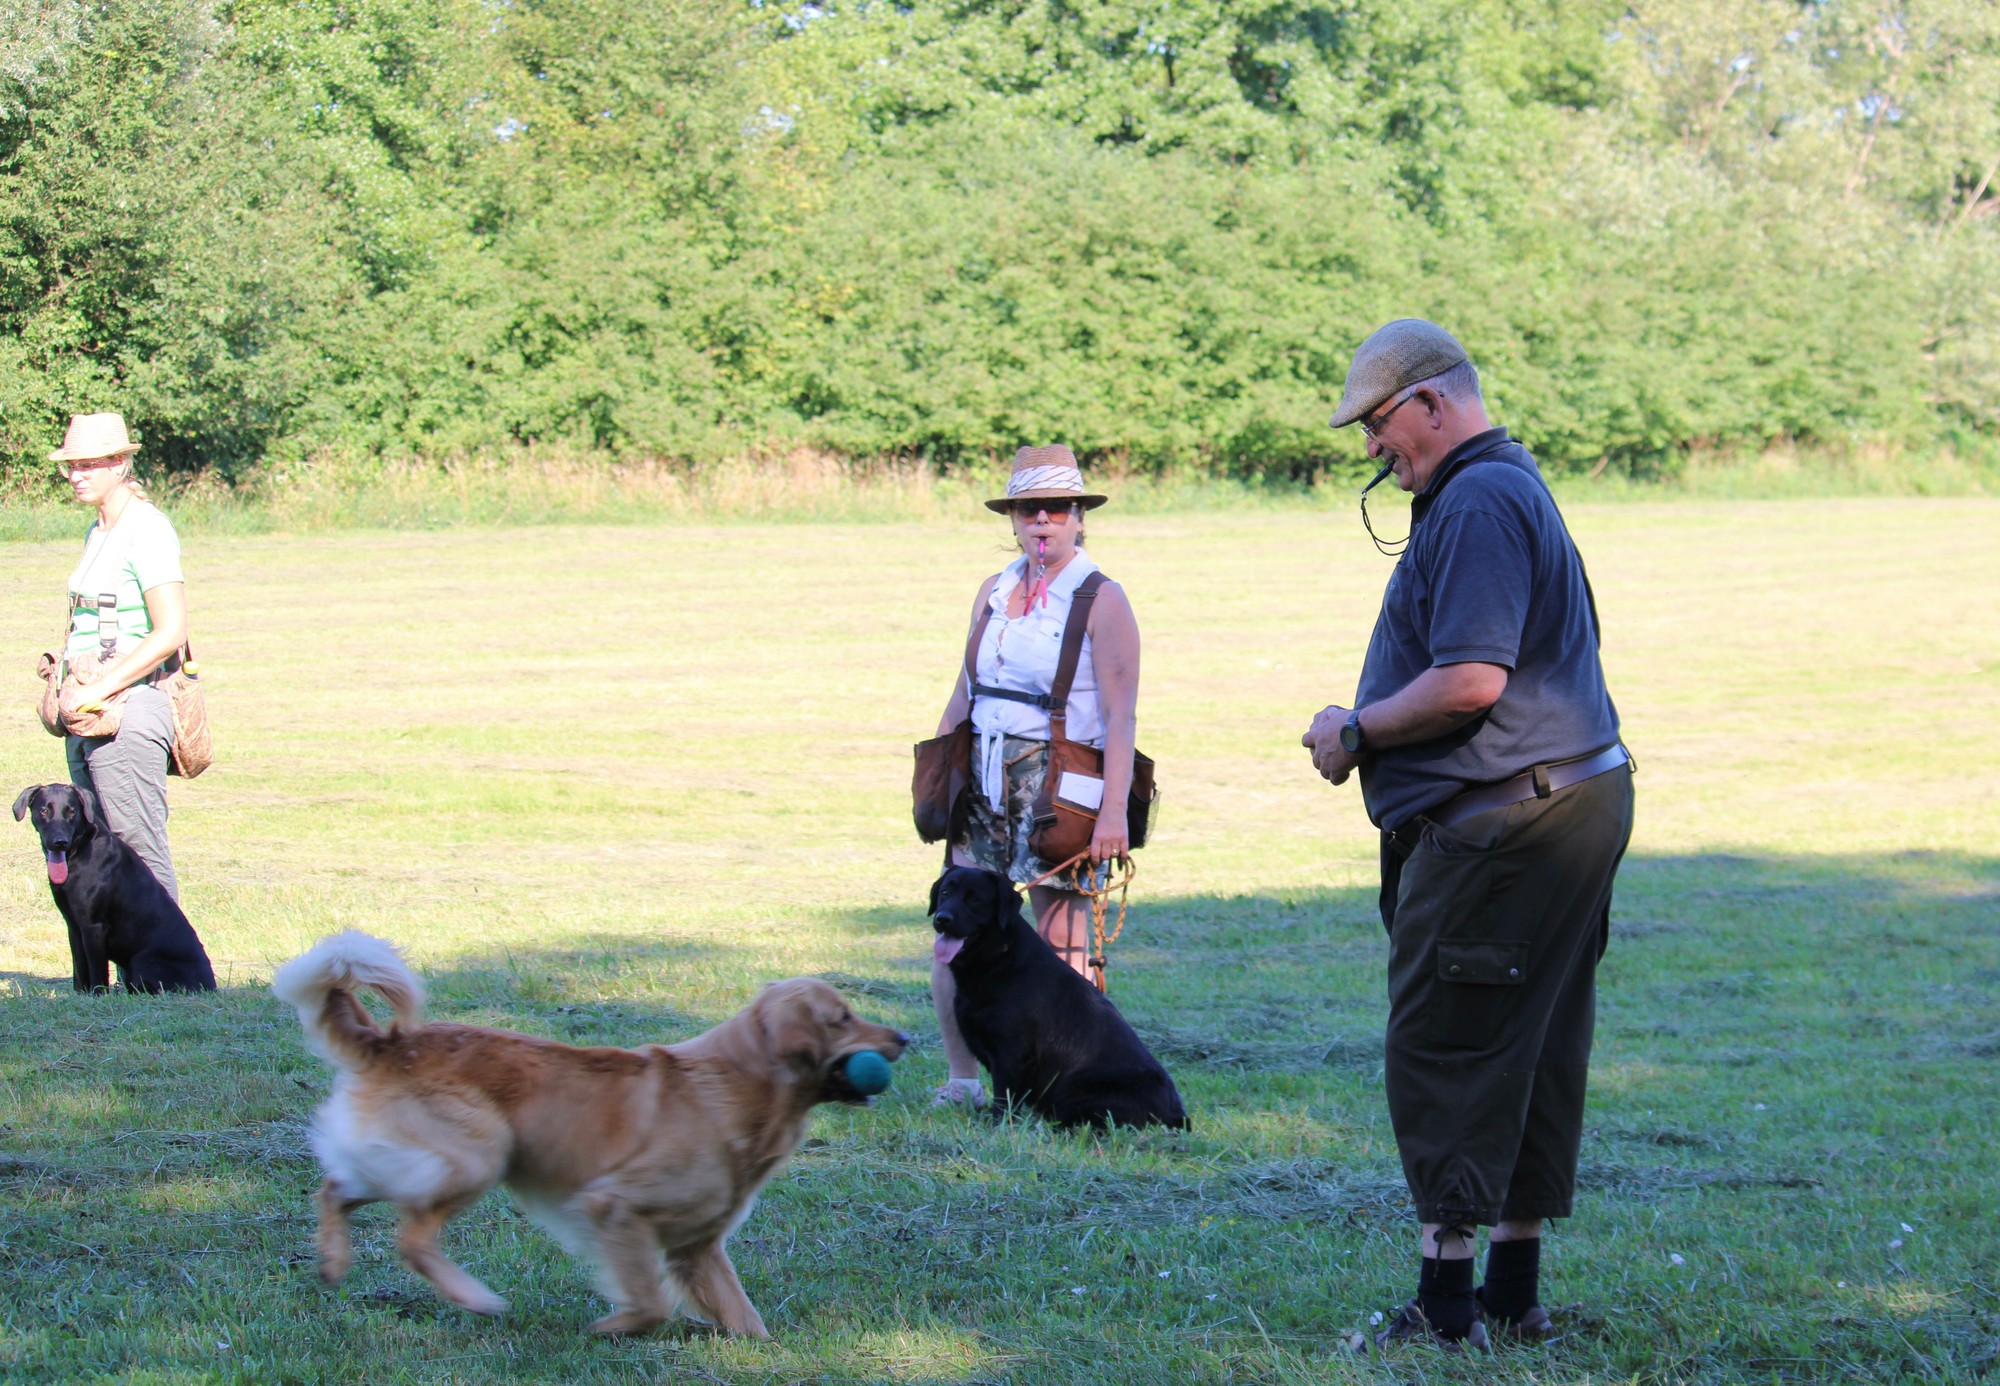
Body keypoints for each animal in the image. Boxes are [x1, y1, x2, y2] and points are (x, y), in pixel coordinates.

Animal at [13, 783, 215, 994]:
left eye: (71, 812)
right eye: (44, 811)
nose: (60, 842)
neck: (79, 850)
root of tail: (210, 985)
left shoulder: (94, 927)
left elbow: (97, 972)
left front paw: (97, 995)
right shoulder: (74, 926)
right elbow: (79, 970)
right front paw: (80, 995)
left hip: (141, 961)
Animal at [273, 932, 910, 1337]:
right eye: (842, 1018)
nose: (906, 1037)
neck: (739, 1084)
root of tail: (392, 1042)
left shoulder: (698, 1247)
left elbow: (746, 1319)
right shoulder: (616, 1206)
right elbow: (650, 1302)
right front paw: (615, 1325)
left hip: (410, 1159)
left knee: (335, 1189)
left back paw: (332, 1263)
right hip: (480, 1153)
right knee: (411, 1238)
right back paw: (477, 1299)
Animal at [930, 865, 1187, 1131]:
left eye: (975, 899)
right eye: (946, 891)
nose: (942, 919)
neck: (1001, 957)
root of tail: (1177, 1115)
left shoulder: (1012, 1052)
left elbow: (1004, 1096)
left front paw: (998, 1125)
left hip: (1074, 1088)